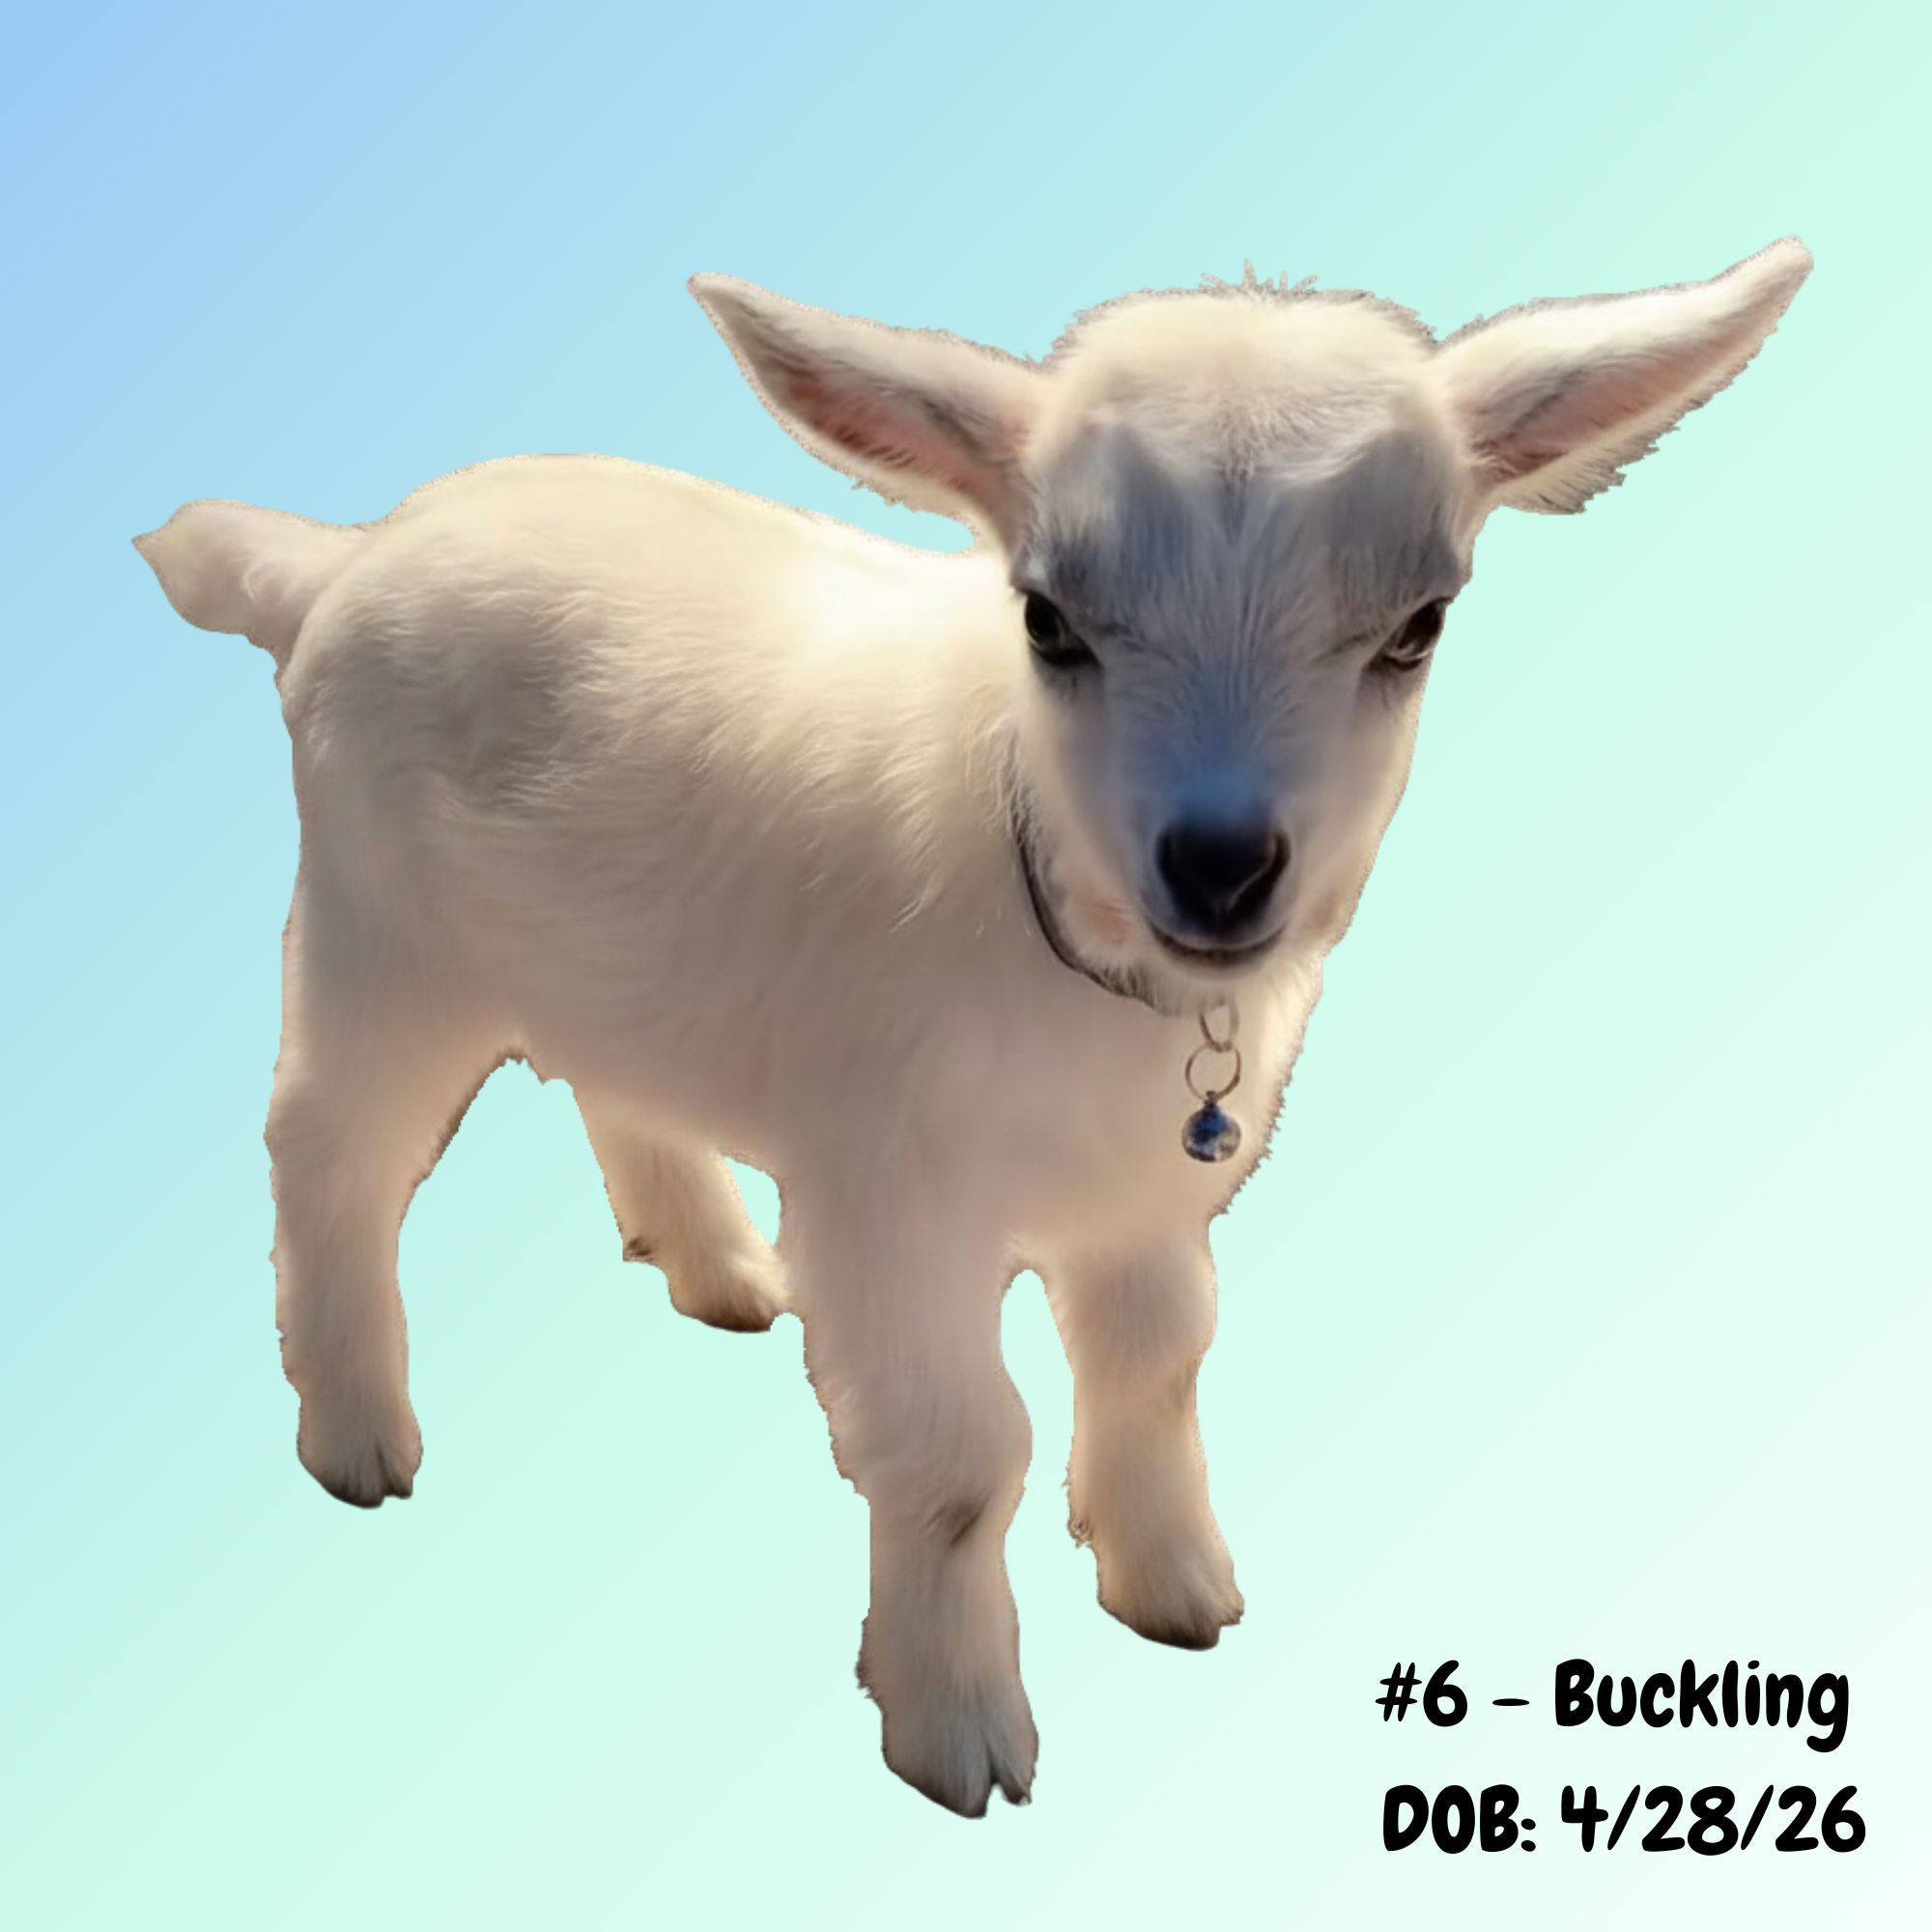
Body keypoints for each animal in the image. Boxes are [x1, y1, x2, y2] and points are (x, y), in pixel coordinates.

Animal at [135, 238, 1811, 1814]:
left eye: (1420, 625)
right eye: (1050, 620)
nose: (1220, 866)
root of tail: (347, 558)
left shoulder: (1148, 1201)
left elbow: (1159, 1363)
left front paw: (1174, 1588)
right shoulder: (890, 1194)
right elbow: (956, 1460)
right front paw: (958, 1729)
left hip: (605, 947)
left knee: (615, 1076)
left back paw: (720, 1269)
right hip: (381, 933)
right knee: (328, 1151)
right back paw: (358, 1434)